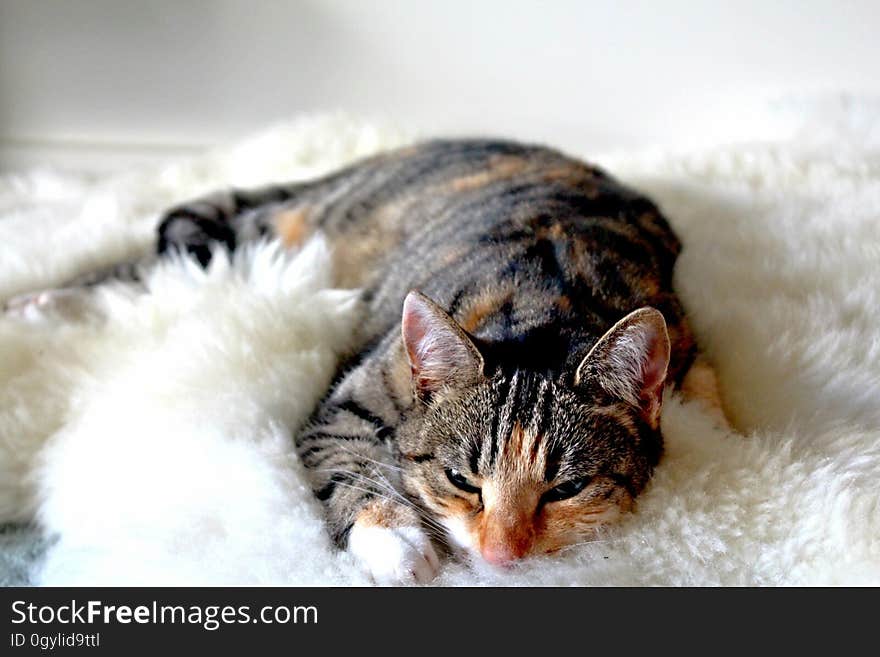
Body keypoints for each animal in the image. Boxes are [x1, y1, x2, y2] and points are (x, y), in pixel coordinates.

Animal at [6, 140, 724, 584]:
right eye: (462, 479)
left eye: (565, 488)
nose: (502, 553)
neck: (549, 304)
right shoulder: (350, 401)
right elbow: (347, 464)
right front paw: (399, 543)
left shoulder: (692, 352)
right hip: (263, 236)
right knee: (148, 268)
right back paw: (38, 302)